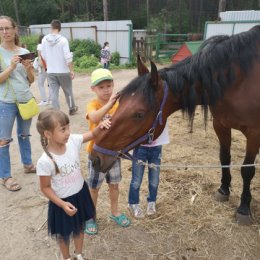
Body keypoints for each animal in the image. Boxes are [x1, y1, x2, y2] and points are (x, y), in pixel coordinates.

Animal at [91, 26, 260, 225]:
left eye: (139, 114)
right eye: (119, 101)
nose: (95, 158)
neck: (236, 80)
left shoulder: (254, 133)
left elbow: (247, 169)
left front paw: (244, 207)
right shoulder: (220, 125)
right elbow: (224, 158)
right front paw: (223, 190)